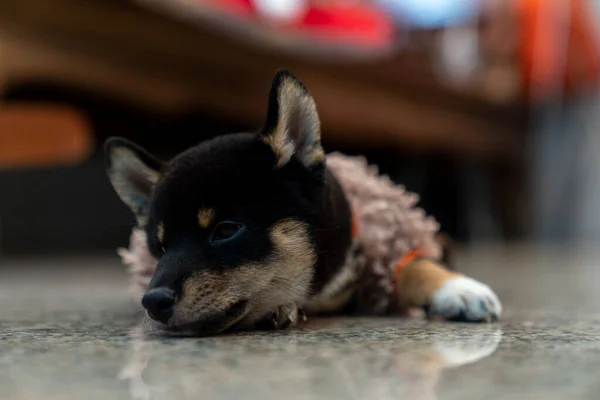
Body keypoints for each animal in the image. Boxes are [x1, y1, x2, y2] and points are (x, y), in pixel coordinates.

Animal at [104, 69, 502, 334]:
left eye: (226, 230)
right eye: (159, 247)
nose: (153, 301)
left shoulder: (378, 245)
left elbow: (414, 264)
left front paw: (459, 289)